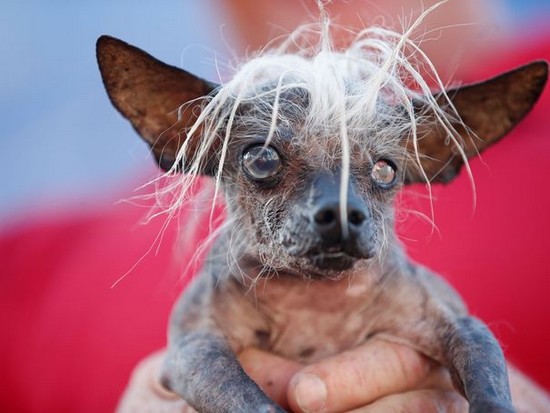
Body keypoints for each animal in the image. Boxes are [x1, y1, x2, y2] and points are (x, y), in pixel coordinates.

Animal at [97, 11, 548, 410]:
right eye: (262, 159)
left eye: (385, 169)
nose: (342, 213)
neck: (314, 302)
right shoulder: (195, 349)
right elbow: (245, 398)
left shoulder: (459, 324)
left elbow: (487, 378)